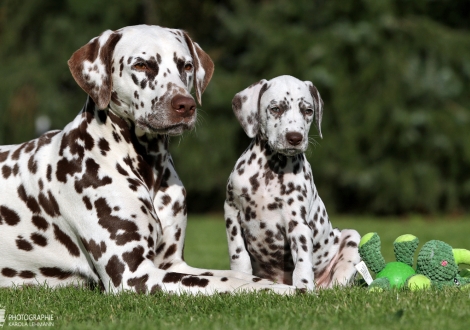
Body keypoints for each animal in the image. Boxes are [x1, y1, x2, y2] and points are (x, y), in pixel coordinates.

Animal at [0, 25, 294, 294]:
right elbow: (227, 283)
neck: (148, 167)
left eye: (186, 65)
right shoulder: (133, 275)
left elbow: (234, 275)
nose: (185, 105)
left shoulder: (173, 264)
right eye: (141, 65)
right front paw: (283, 290)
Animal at [224, 76, 360, 290]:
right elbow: (238, 255)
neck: (270, 169)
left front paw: (303, 287)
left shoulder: (298, 224)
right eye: (276, 109)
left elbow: (303, 261)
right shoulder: (231, 212)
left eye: (308, 111)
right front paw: (240, 278)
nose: (295, 138)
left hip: (351, 237)